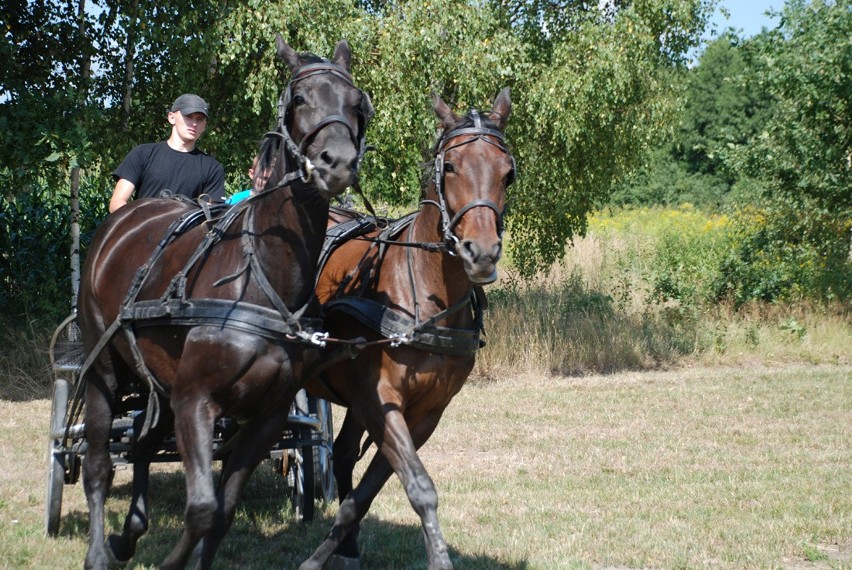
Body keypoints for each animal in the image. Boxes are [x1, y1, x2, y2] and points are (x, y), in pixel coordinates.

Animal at [75, 36, 372, 568]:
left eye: (357, 103)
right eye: (300, 100)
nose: (335, 162)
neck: (261, 278)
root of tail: (122, 223)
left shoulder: (267, 418)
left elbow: (224, 509)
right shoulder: (197, 401)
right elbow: (201, 508)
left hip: (160, 383)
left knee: (144, 445)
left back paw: (129, 535)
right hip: (103, 369)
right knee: (98, 463)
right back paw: (99, 552)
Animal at [300, 89, 512, 568]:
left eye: (508, 175)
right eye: (450, 166)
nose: (481, 252)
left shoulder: (424, 413)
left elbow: (366, 493)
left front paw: (335, 547)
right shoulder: (381, 400)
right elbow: (420, 487)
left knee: (343, 455)